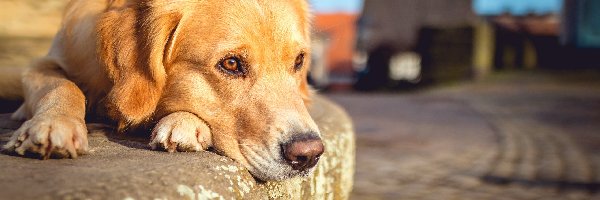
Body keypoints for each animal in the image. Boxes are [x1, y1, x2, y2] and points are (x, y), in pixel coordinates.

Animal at [1, 0, 324, 180]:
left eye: (299, 60)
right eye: (231, 63)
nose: (309, 155)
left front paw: (184, 123)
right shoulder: (44, 63)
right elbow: (63, 86)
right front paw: (53, 124)